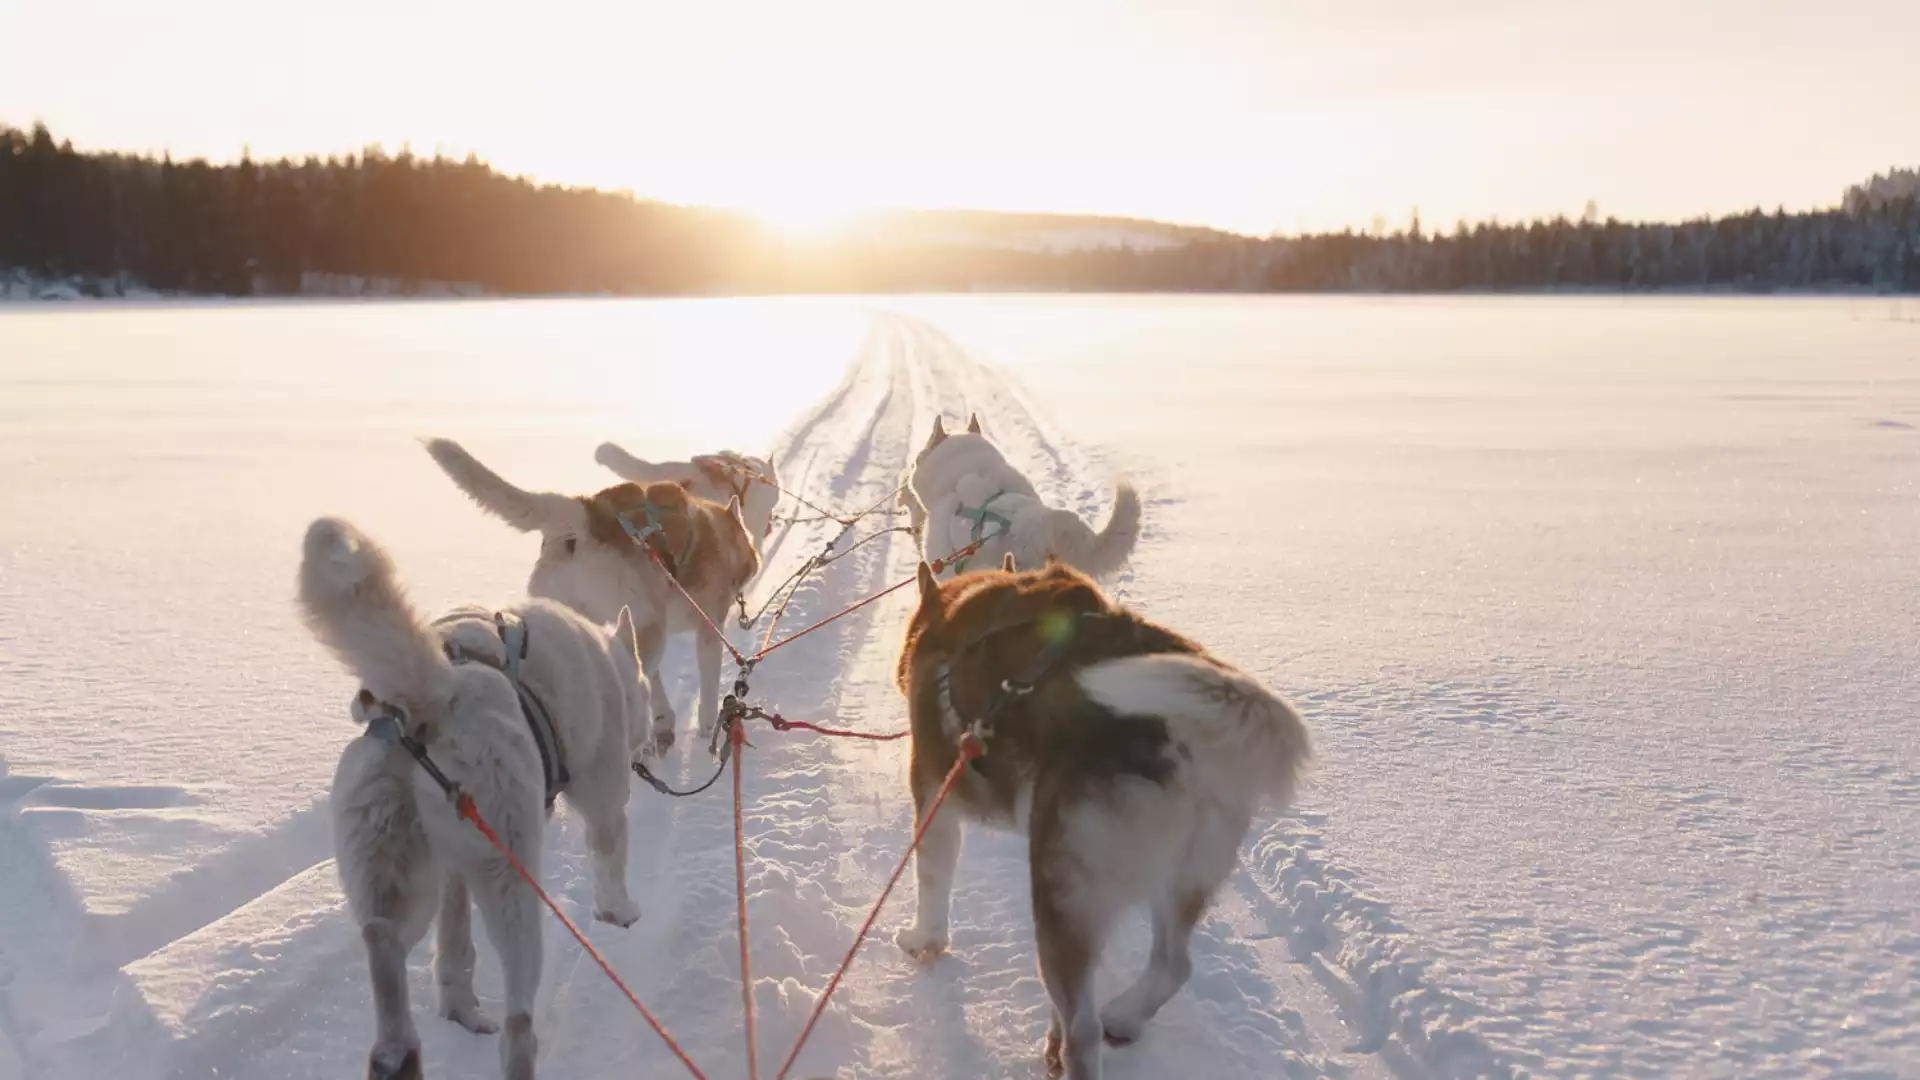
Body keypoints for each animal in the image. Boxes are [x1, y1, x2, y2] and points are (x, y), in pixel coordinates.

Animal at [299, 511, 652, 1076]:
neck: (609, 666)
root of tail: (433, 697)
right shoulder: (603, 798)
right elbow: (609, 856)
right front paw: (620, 913)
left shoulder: (452, 870)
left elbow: (454, 938)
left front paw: (457, 1001)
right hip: (514, 883)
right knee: (520, 1023)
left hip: (399, 878)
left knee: (383, 946)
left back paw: (402, 1049)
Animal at [428, 438, 756, 749]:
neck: (723, 538)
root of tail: (587, 513)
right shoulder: (706, 629)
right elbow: (707, 687)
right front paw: (705, 726)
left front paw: (664, 722)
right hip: (651, 628)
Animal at [894, 553, 1305, 1076]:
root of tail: (1173, 736)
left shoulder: (934, 793)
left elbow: (931, 882)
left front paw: (924, 940)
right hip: (1178, 879)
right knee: (1172, 966)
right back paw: (1123, 1018)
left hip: (1060, 890)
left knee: (1083, 1028)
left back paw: (1079, 1043)